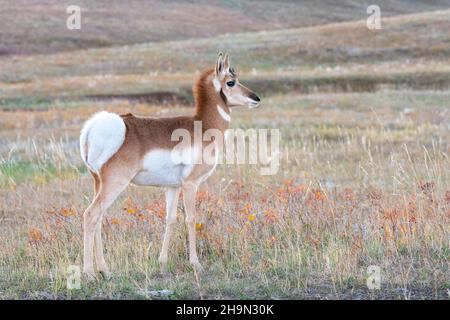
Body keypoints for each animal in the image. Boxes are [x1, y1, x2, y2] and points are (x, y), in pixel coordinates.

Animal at [79, 53, 258, 278]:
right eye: (231, 82)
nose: (256, 98)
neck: (203, 127)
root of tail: (96, 126)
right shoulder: (190, 185)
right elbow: (191, 218)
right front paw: (195, 263)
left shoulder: (172, 187)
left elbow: (170, 219)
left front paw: (162, 263)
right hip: (115, 183)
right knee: (91, 214)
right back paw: (90, 273)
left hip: (98, 183)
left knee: (98, 217)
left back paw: (105, 270)